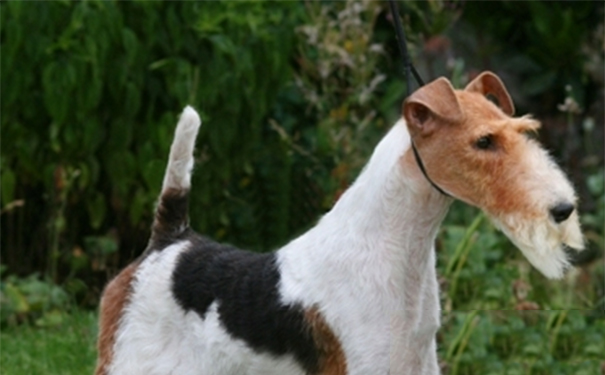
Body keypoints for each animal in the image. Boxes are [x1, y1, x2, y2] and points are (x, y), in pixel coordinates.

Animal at [96, 72, 584, 374]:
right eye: (483, 141)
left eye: (522, 132)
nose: (563, 209)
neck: (396, 248)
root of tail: (168, 240)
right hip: (128, 360)